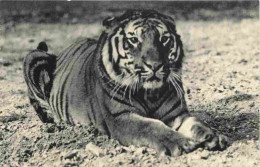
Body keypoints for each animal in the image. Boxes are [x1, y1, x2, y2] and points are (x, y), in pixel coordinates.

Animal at [23, 9, 228, 156]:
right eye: (134, 40)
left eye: (164, 39)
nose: (155, 65)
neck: (151, 93)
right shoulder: (120, 117)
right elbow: (151, 126)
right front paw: (181, 143)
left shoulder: (176, 114)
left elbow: (196, 123)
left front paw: (213, 136)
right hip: (34, 57)